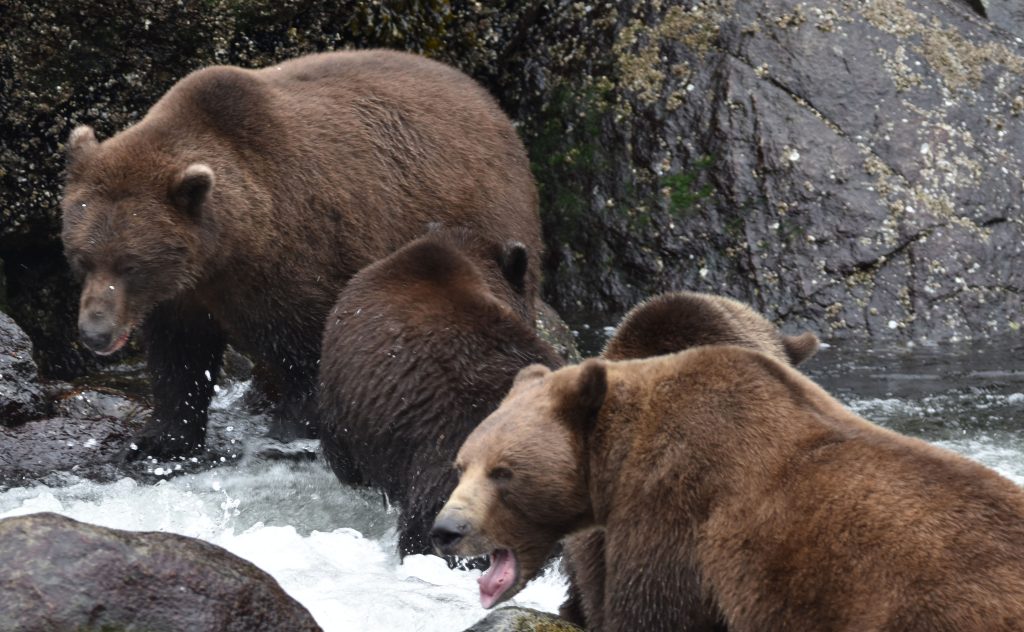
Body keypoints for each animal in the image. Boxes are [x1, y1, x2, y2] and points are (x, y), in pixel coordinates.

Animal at [60, 50, 544, 458]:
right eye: (81, 258)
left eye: (131, 264)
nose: (94, 332)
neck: (227, 249)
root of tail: (488, 101)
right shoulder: (183, 295)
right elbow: (179, 359)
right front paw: (160, 439)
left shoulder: (298, 260)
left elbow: (305, 354)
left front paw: (290, 431)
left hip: (485, 223)